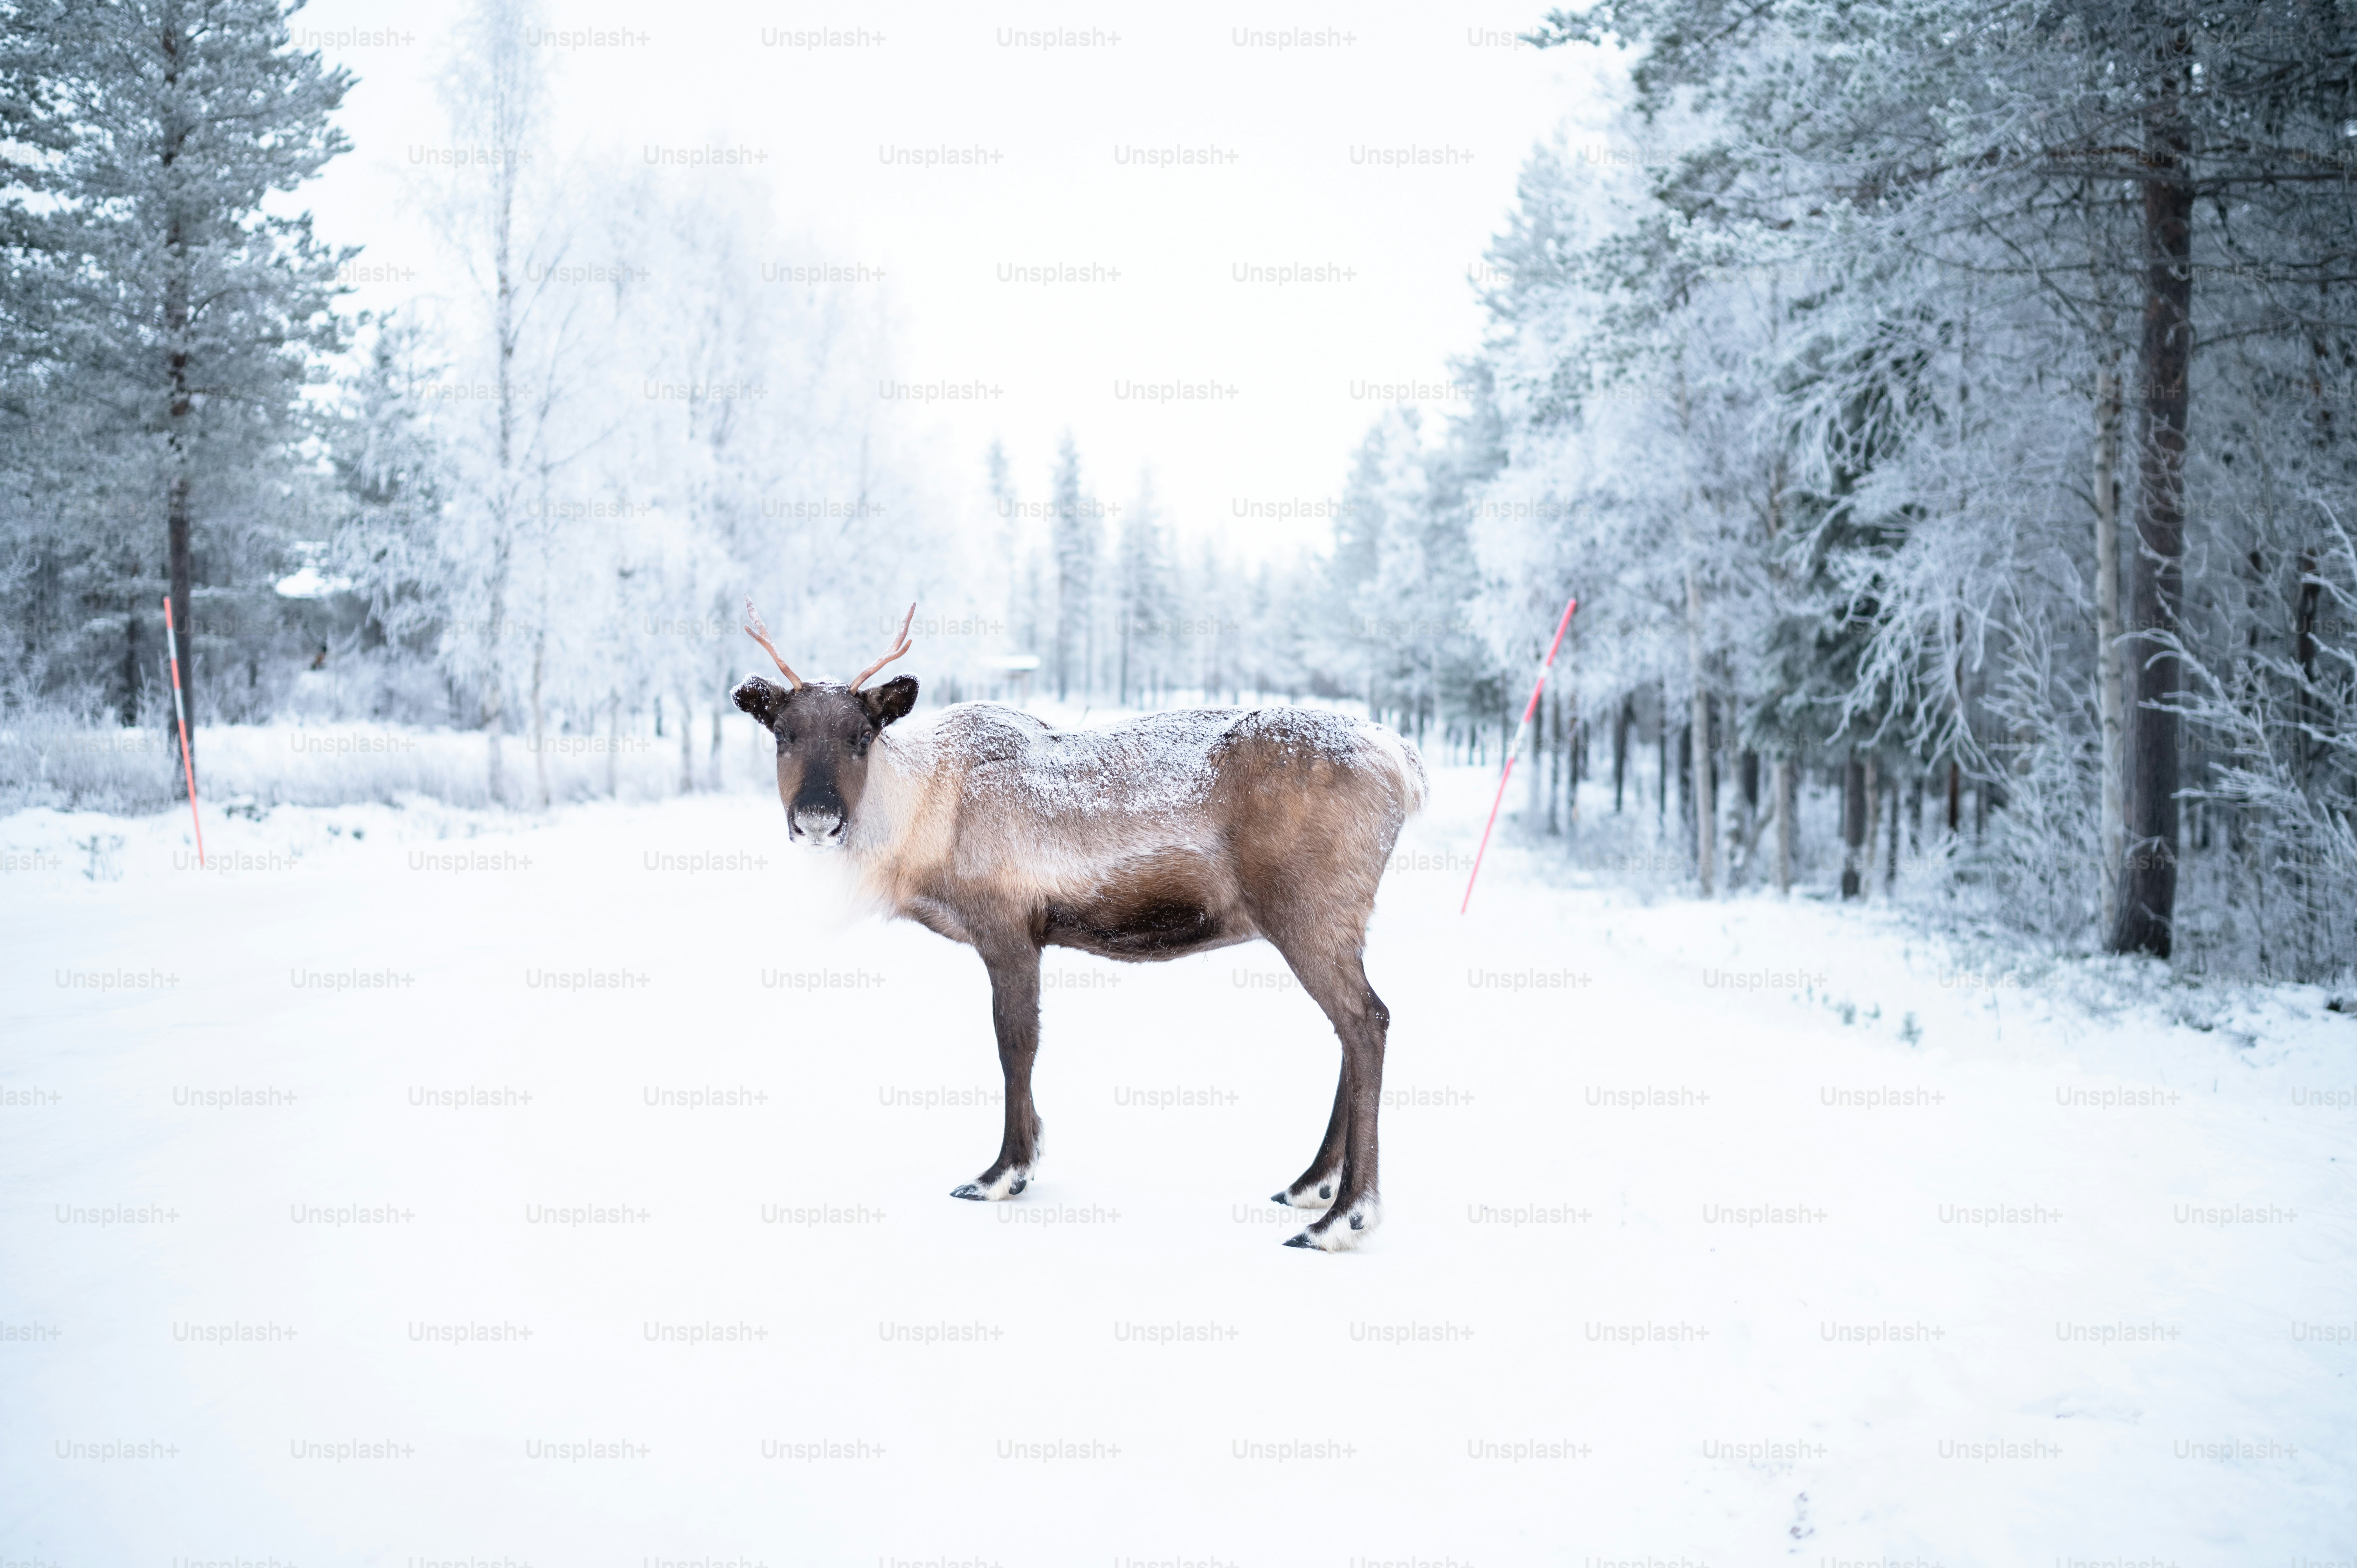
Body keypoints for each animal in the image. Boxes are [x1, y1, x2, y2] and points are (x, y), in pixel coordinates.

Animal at [731, 602, 1426, 1250]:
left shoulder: (1008, 929)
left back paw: (1343, 1217)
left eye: (863, 734)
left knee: (1366, 1022)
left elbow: (1015, 1044)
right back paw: (1311, 1185)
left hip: (1309, 911)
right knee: (1353, 1027)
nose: (818, 819)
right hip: (1338, 921)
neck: (921, 823)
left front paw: (1003, 1173)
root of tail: (1405, 763)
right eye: (782, 734)